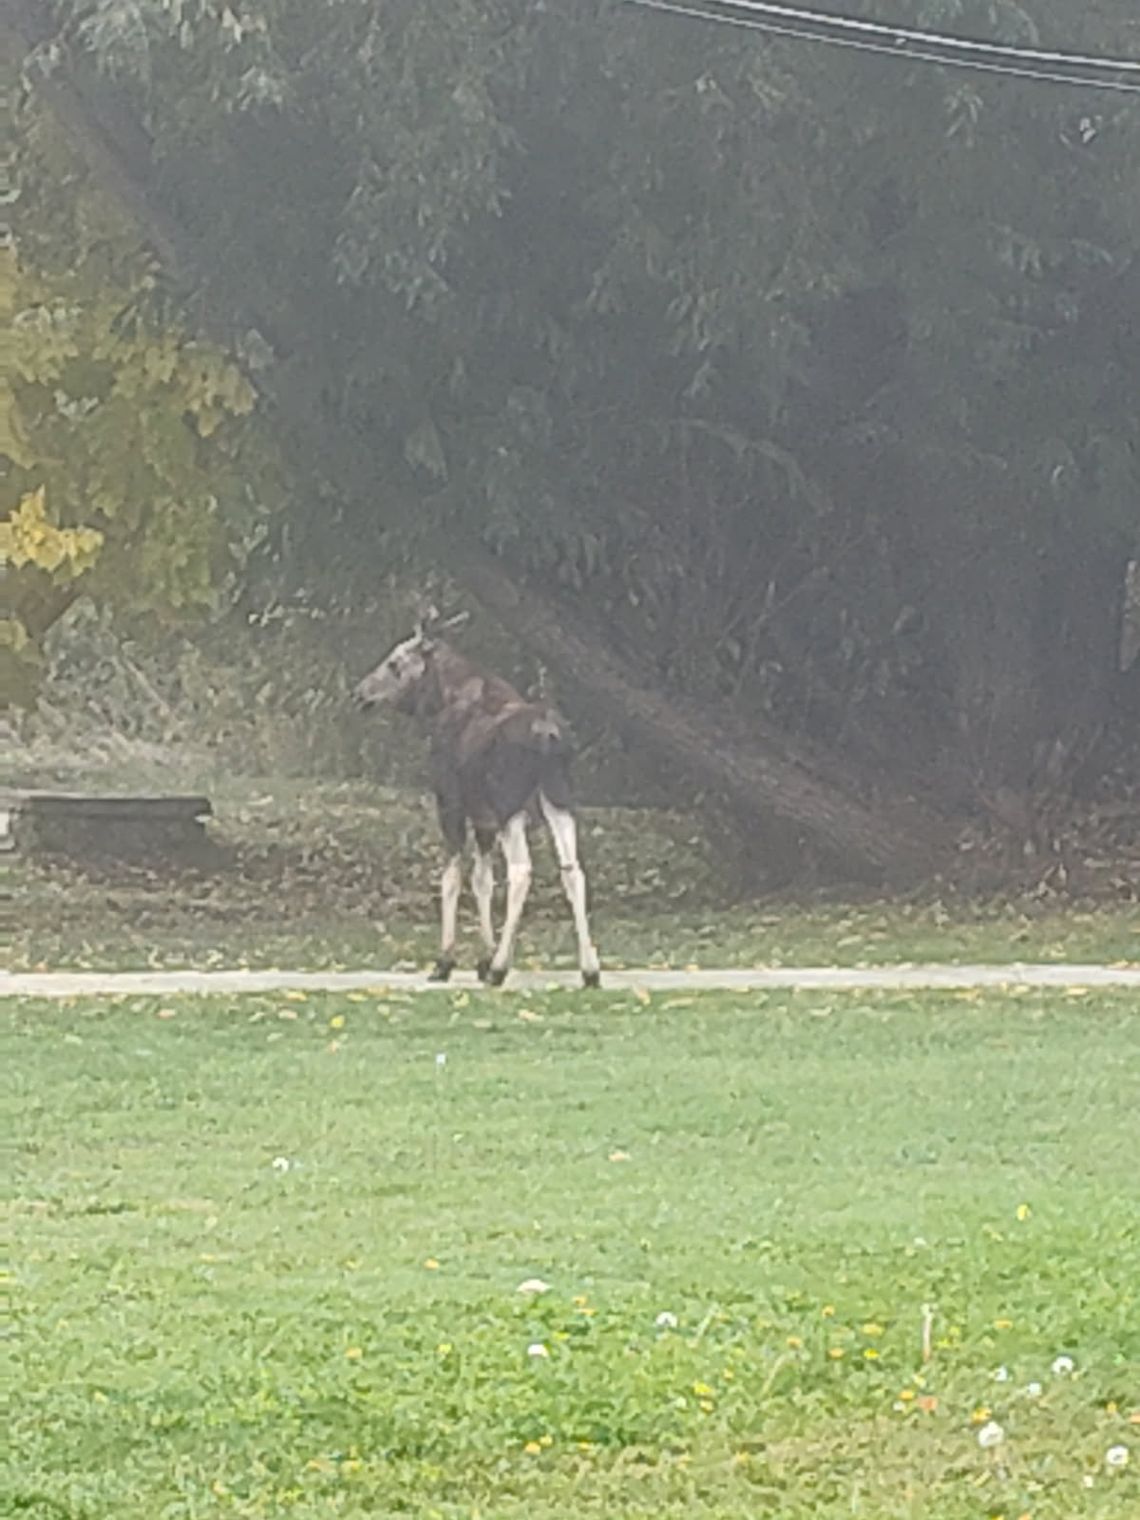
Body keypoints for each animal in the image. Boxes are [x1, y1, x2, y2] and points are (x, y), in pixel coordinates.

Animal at [353, 609, 601, 988]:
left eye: (394, 662)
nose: (361, 693)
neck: (438, 703)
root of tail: (549, 737)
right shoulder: (484, 819)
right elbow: (482, 880)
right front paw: (483, 958)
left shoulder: (451, 803)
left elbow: (452, 878)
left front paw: (446, 962)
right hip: (558, 799)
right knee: (573, 869)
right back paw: (589, 970)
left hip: (510, 805)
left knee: (522, 871)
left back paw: (501, 968)